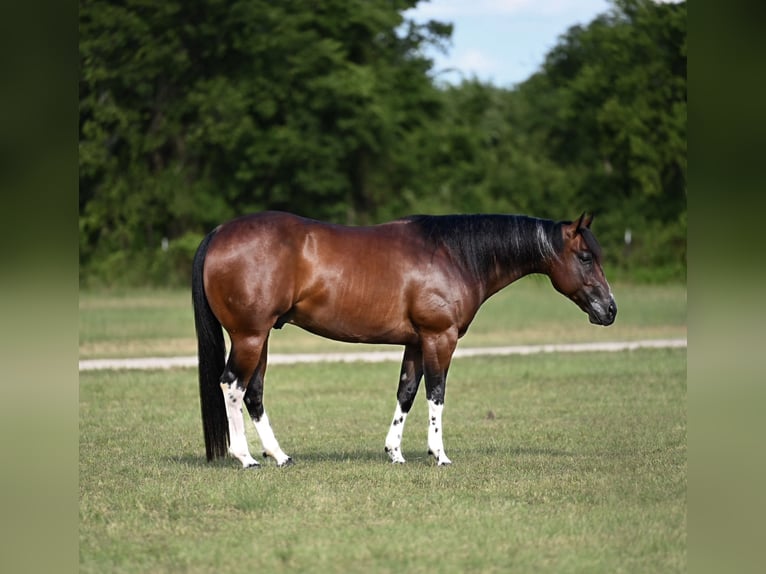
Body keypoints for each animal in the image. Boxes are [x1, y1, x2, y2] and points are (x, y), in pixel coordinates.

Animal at [191, 211, 616, 468]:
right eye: (585, 257)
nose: (610, 310)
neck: (454, 255)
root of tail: (218, 233)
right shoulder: (439, 338)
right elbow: (436, 394)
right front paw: (439, 454)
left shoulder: (415, 342)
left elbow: (407, 392)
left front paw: (394, 452)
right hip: (249, 336)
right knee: (232, 385)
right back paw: (245, 457)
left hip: (260, 337)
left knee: (253, 392)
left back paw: (279, 455)